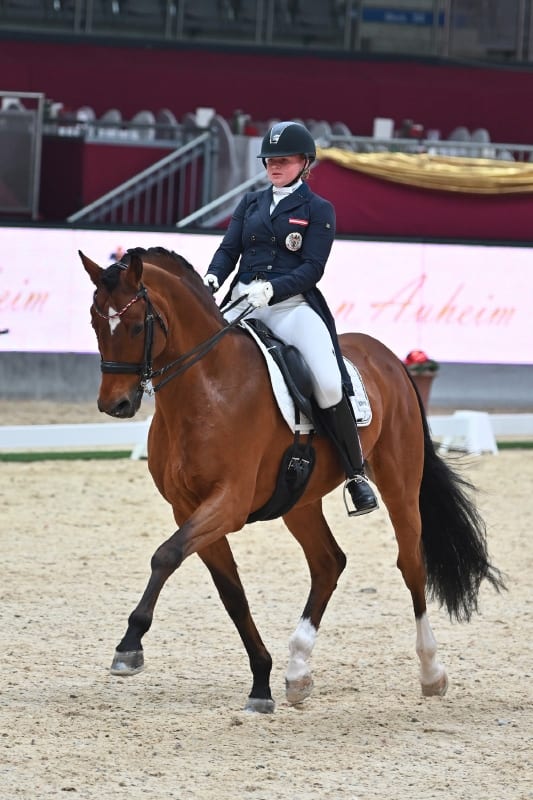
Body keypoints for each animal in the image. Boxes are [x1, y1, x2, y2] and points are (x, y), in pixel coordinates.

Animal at [80, 245, 504, 713]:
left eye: (137, 325)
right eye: (95, 322)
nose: (115, 404)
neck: (208, 386)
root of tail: (387, 356)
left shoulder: (228, 502)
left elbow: (166, 556)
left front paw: (129, 646)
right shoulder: (187, 508)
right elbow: (231, 592)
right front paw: (261, 683)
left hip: (400, 486)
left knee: (411, 563)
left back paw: (431, 673)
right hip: (299, 501)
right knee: (329, 562)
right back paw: (298, 671)